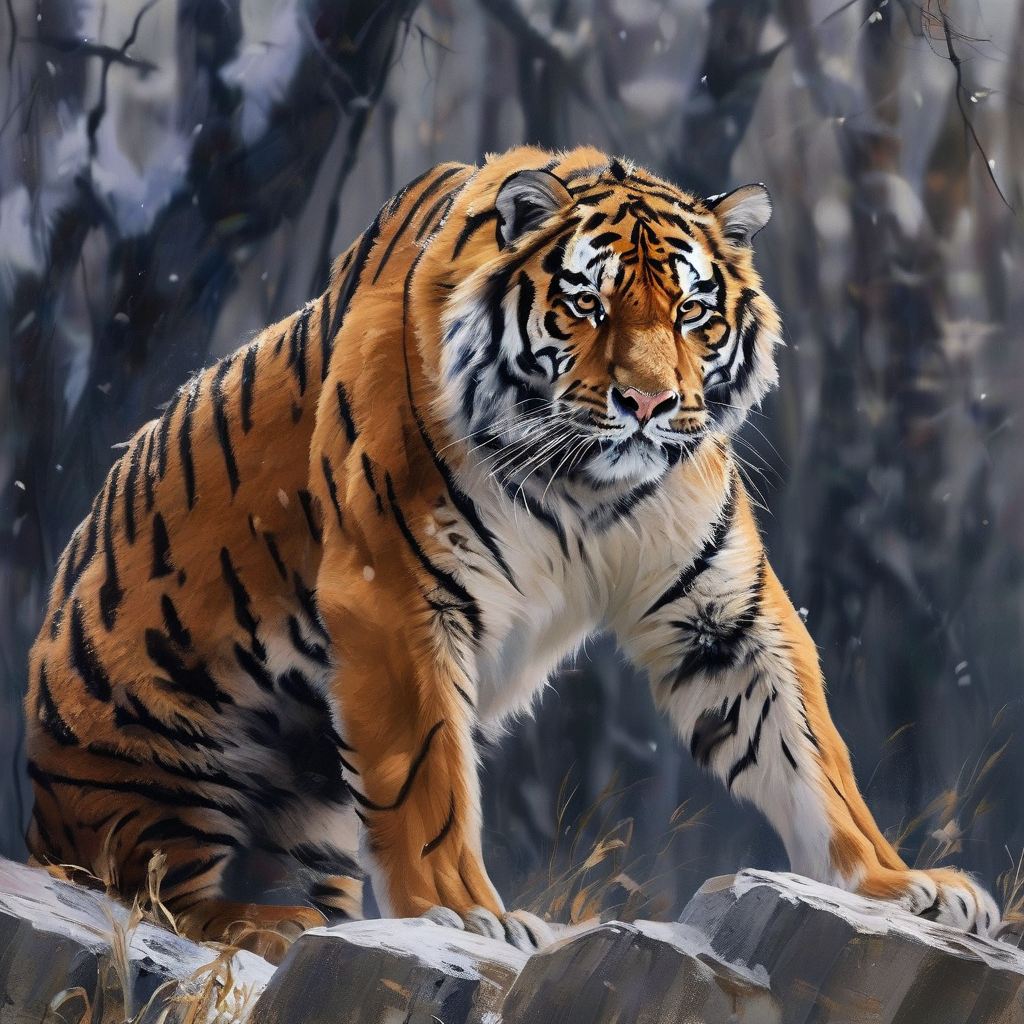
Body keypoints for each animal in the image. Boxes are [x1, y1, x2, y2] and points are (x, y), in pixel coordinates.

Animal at [24, 145, 1000, 958]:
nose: (649, 403)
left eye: (692, 312)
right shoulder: (396, 598)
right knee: (149, 891)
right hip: (170, 753)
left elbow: (815, 759)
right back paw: (266, 921)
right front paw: (463, 915)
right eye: (587, 305)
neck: (588, 488)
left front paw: (901, 886)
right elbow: (430, 780)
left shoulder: (724, 613)